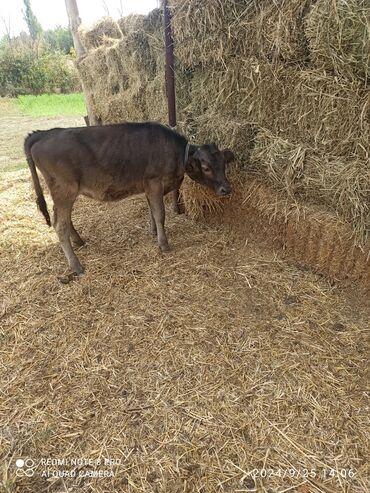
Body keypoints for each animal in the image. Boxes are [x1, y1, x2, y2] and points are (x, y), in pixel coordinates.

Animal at [23, 120, 234, 272]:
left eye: (224, 163)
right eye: (206, 167)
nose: (226, 189)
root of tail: (44, 133)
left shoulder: (149, 187)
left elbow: (152, 211)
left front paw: (154, 232)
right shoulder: (154, 182)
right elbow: (160, 214)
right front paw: (163, 244)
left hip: (62, 193)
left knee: (63, 220)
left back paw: (79, 241)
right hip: (65, 190)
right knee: (60, 225)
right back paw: (76, 266)